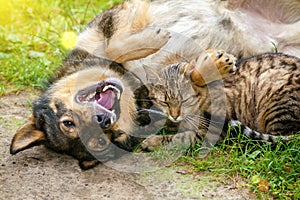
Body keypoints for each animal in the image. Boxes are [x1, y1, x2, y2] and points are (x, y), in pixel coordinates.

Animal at [141, 49, 300, 150]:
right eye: (164, 102)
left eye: (184, 100)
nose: (175, 115)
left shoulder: (213, 131)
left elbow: (180, 138)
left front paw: (152, 141)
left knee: (276, 142)